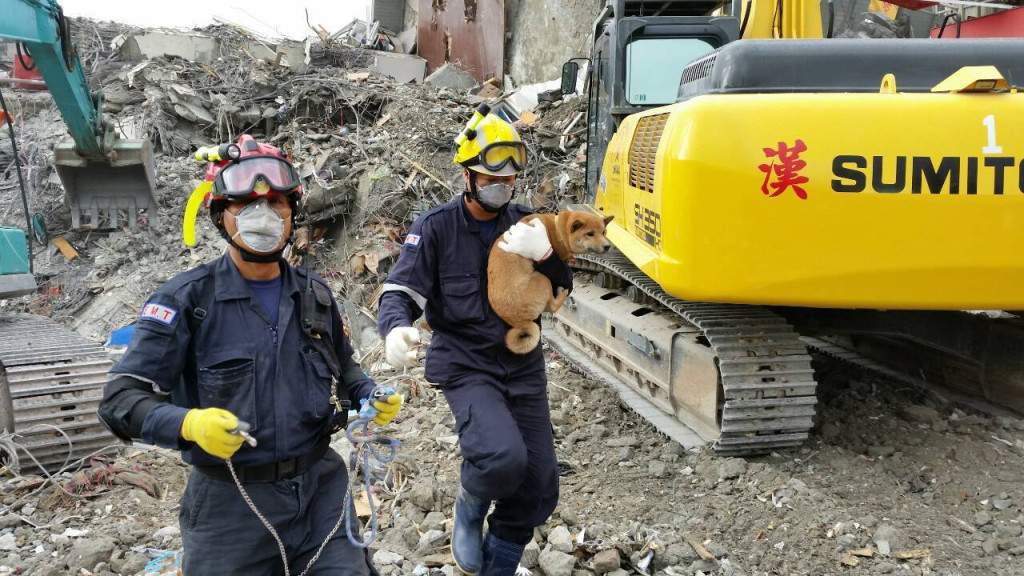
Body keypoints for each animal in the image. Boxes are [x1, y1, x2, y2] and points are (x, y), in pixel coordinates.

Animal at [378, 109, 573, 569]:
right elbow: (404, 290)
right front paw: (399, 340)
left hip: (530, 398)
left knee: (541, 481)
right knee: (500, 459)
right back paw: (467, 524)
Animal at [485, 210, 610, 352]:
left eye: (604, 232)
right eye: (590, 234)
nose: (607, 246)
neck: (558, 229)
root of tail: (517, 321)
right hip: (542, 279)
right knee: (553, 306)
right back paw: (561, 293)